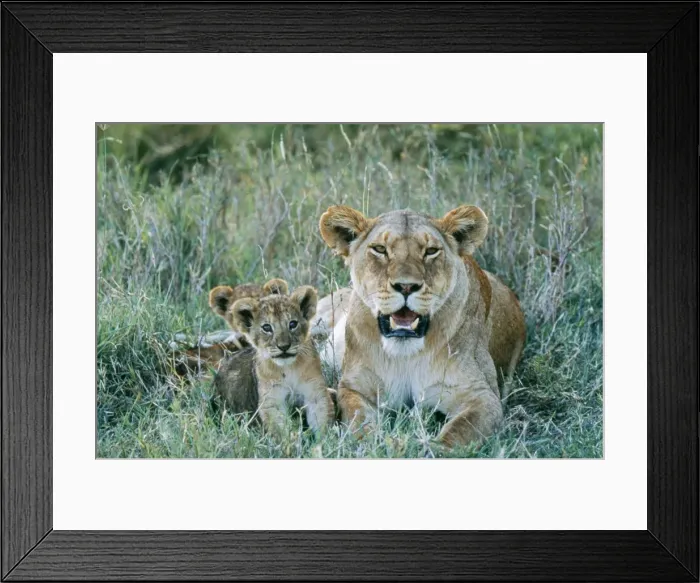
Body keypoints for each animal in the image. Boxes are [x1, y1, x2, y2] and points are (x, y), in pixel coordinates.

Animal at [214, 281, 335, 438]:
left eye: (292, 324)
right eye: (267, 327)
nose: (284, 346)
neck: (288, 368)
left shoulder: (315, 393)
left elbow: (321, 421)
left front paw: (324, 441)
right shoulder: (271, 402)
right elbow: (280, 430)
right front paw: (291, 443)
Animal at [318, 205, 526, 448]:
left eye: (431, 251)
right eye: (380, 249)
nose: (406, 286)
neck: (405, 353)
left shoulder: (483, 396)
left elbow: (458, 433)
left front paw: (430, 448)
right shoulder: (355, 387)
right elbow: (359, 423)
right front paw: (378, 443)